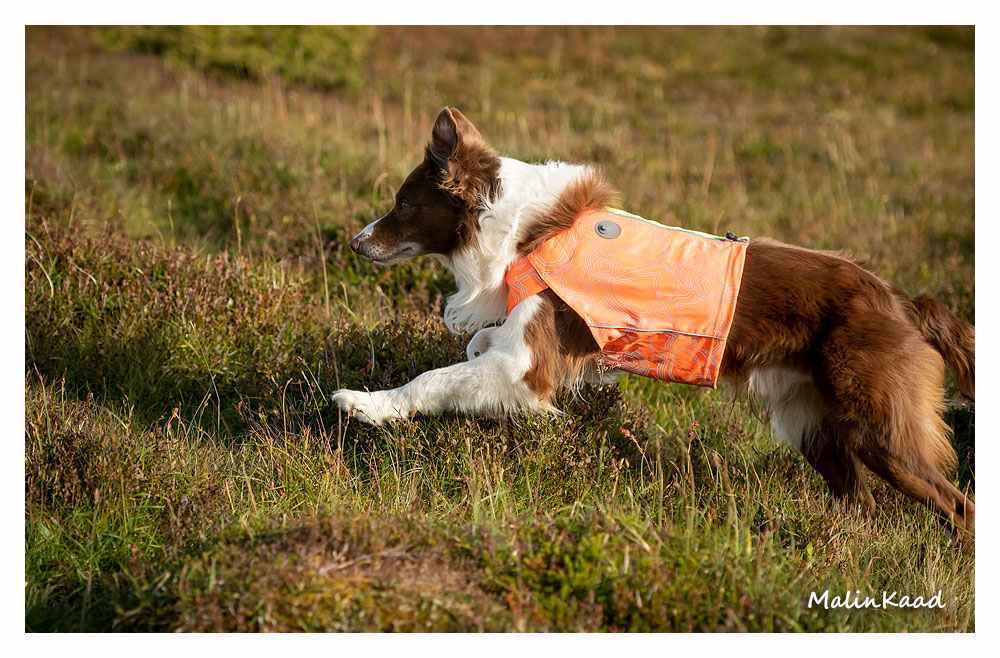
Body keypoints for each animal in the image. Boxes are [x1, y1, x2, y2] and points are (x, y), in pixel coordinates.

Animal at [334, 107, 975, 534]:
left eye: (403, 204)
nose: (356, 242)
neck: (516, 229)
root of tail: (904, 301)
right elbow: (472, 351)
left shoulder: (526, 367)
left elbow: (432, 379)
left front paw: (367, 405)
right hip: (812, 423)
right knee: (861, 502)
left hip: (878, 424)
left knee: (957, 504)